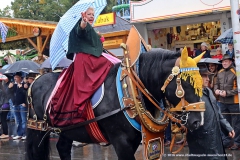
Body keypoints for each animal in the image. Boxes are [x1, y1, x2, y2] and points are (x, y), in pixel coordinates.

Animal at [25, 48, 202, 160]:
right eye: (185, 83)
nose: (197, 121)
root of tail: (36, 80)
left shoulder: (136, 140)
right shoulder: (120, 141)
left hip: (67, 130)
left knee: (62, 147)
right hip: (38, 129)